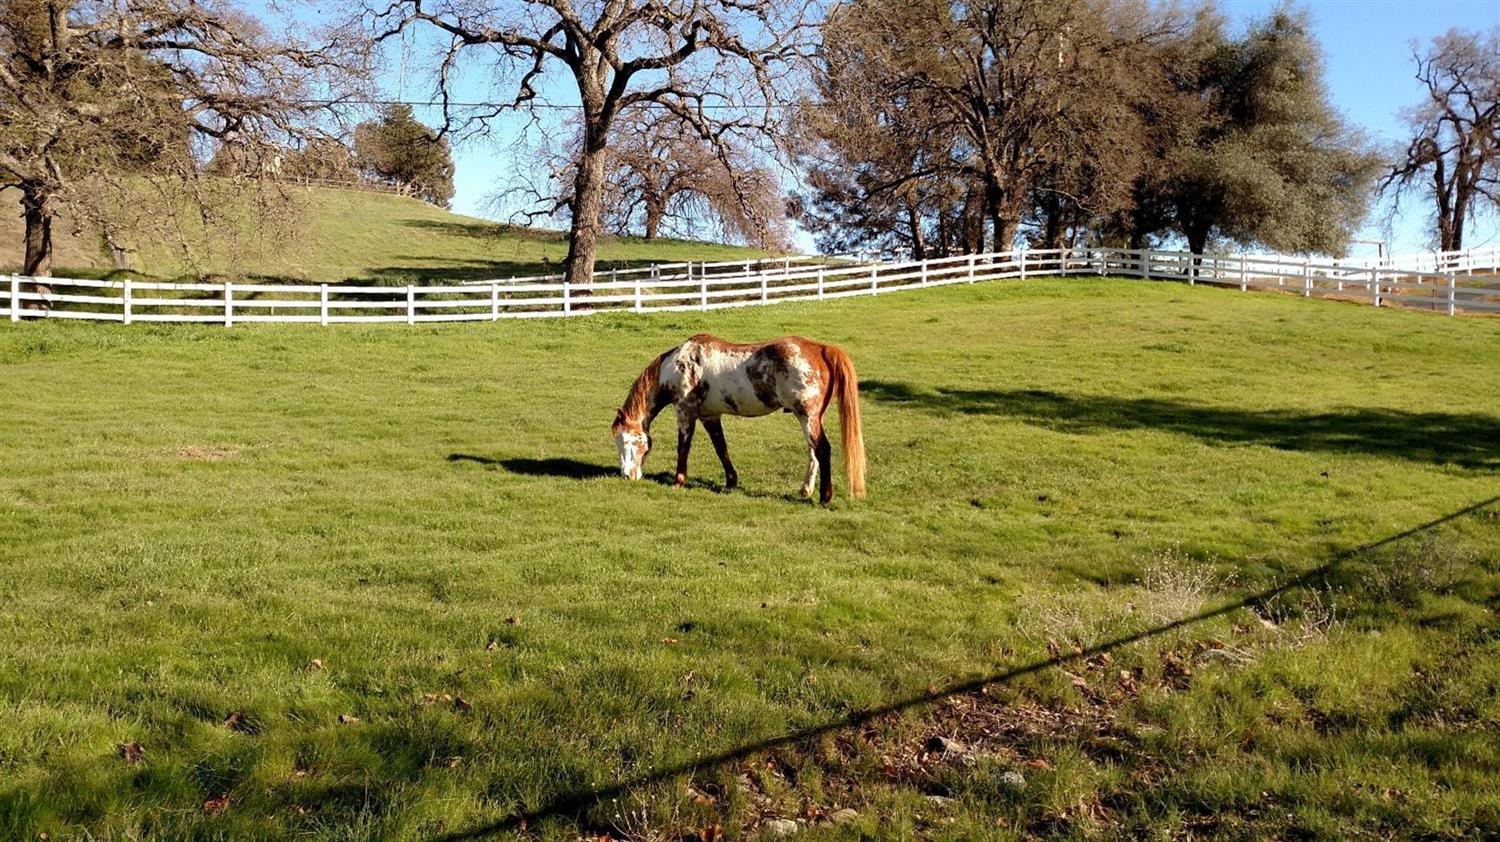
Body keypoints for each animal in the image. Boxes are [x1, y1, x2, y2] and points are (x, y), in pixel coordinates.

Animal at [612, 331, 870, 501]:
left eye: (627, 441)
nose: (626, 476)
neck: (678, 365)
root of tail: (821, 349)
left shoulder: (685, 412)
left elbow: (683, 448)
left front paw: (678, 481)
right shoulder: (710, 416)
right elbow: (721, 448)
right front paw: (730, 482)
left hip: (807, 416)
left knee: (823, 449)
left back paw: (825, 497)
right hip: (812, 418)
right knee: (814, 452)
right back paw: (805, 490)